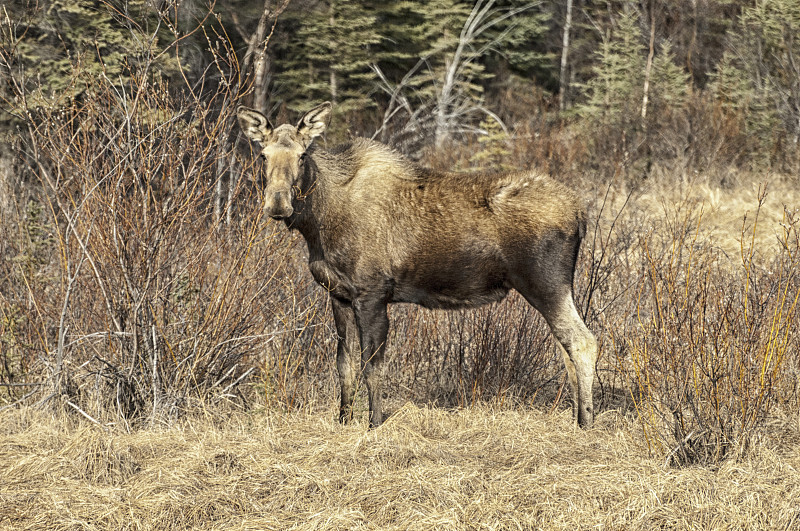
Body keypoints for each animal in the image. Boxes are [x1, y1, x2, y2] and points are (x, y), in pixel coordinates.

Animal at [234, 103, 596, 428]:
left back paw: (586, 422)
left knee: (583, 341)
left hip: (546, 283)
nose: (278, 204)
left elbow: (372, 366)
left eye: (302, 155)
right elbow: (344, 365)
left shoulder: (372, 293)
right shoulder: (338, 295)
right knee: (566, 346)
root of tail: (580, 213)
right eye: (263, 155)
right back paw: (576, 416)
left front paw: (374, 423)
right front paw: (343, 420)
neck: (317, 224)